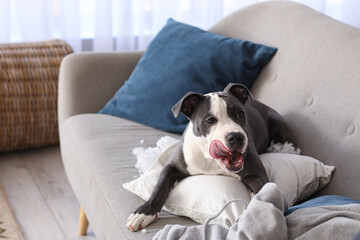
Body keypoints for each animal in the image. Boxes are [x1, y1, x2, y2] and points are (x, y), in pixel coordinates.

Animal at [126, 83, 292, 232]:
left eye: (240, 114)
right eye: (210, 120)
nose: (236, 137)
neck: (211, 161)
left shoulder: (257, 174)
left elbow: (263, 194)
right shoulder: (172, 166)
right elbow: (159, 186)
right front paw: (144, 212)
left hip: (277, 121)